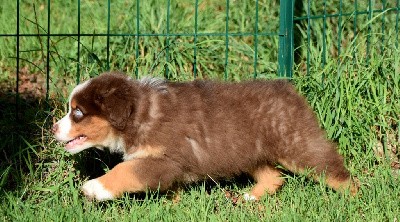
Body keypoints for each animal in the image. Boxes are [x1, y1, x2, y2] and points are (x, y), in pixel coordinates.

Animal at [52, 71, 356, 201]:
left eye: (77, 112)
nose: (53, 128)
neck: (140, 113)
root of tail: (289, 90)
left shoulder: (164, 160)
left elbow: (125, 170)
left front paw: (94, 188)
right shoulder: (166, 165)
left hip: (297, 146)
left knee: (333, 170)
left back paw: (354, 198)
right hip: (249, 153)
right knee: (274, 177)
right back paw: (250, 198)